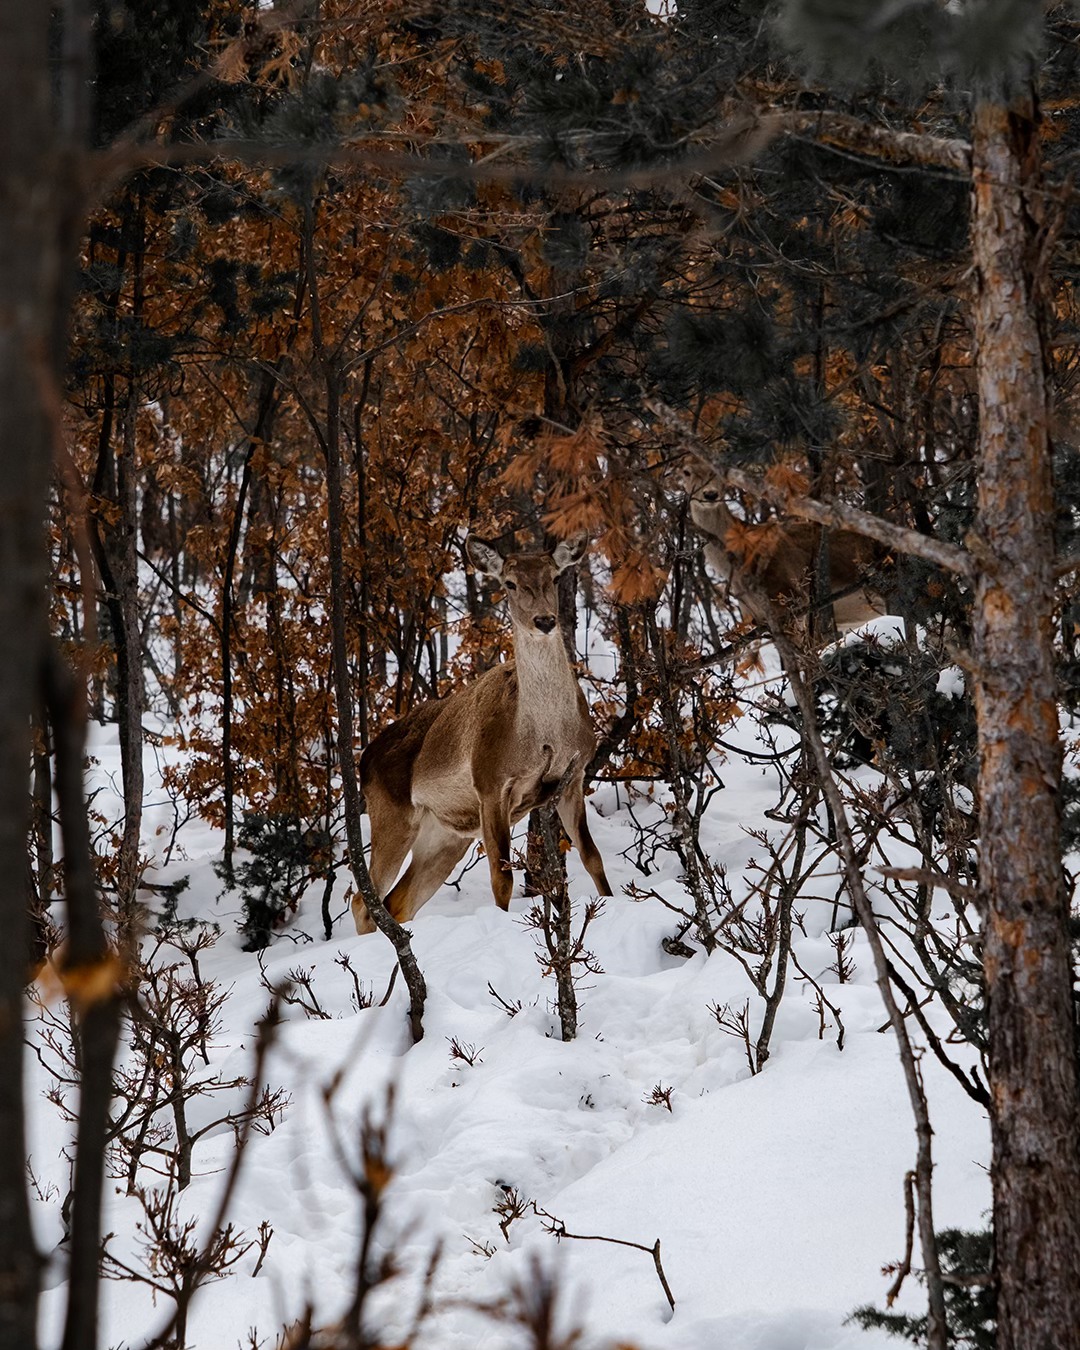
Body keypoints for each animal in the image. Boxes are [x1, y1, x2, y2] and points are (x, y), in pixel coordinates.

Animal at [351, 531, 612, 934]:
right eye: (509, 582)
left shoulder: (574, 776)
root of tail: (364, 759)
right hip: (392, 816)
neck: (544, 734)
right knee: (363, 902)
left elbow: (592, 856)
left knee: (397, 901)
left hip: (444, 835)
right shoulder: (490, 782)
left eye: (554, 577)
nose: (544, 619)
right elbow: (500, 877)